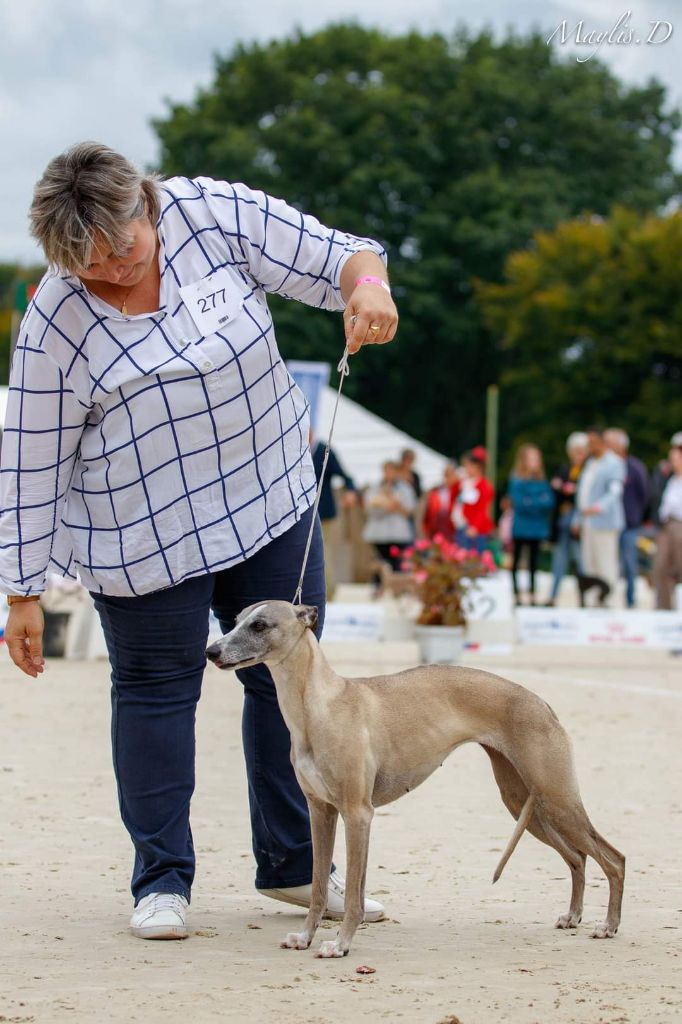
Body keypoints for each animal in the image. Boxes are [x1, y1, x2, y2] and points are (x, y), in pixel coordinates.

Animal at [204, 598, 622, 958]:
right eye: (235, 619)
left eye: (260, 625)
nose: (211, 651)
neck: (320, 706)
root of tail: (541, 702)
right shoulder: (321, 811)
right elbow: (320, 886)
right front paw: (306, 937)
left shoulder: (358, 813)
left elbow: (353, 894)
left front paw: (340, 944)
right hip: (525, 800)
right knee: (578, 858)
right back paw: (574, 916)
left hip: (556, 797)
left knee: (612, 858)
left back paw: (608, 925)